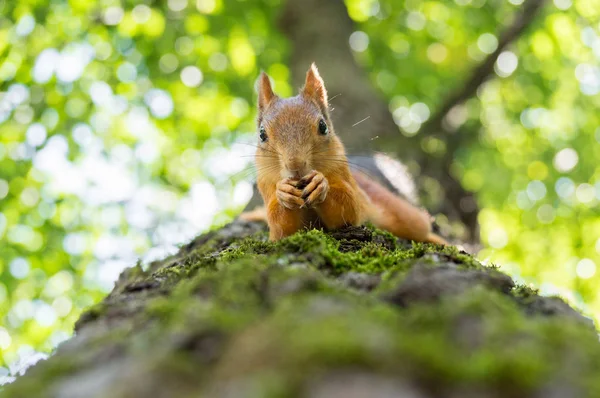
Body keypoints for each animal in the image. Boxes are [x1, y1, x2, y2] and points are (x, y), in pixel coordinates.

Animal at [241, 62, 448, 246]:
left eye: (323, 126)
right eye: (262, 134)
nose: (295, 165)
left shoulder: (347, 181)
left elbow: (349, 208)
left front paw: (321, 184)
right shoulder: (266, 184)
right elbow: (281, 227)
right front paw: (283, 192)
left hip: (400, 212)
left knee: (419, 226)